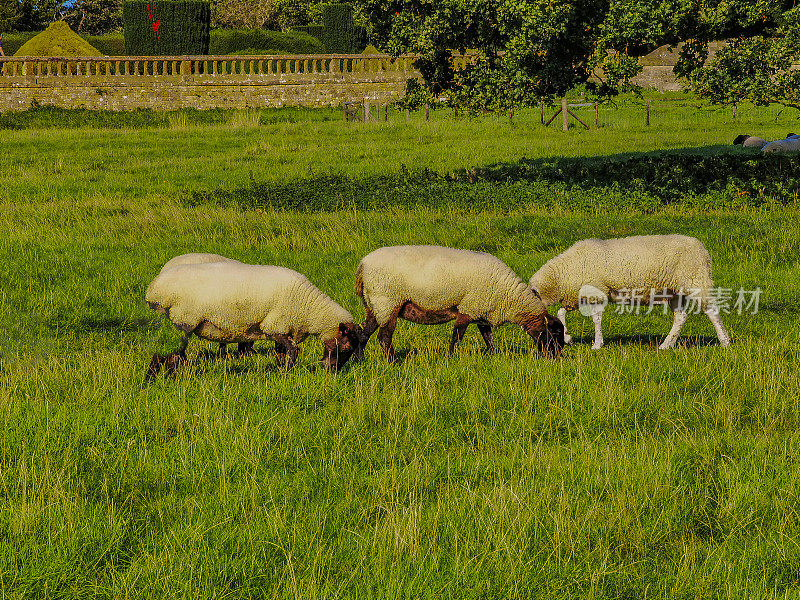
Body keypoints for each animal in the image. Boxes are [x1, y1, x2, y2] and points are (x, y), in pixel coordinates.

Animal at [145, 262, 360, 378]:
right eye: (347, 347)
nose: (332, 371)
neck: (309, 308)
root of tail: (155, 287)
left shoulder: (282, 329)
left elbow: (282, 353)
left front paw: (279, 371)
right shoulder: (275, 324)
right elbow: (293, 351)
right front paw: (286, 374)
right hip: (186, 318)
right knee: (175, 354)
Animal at [354, 244, 564, 360]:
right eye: (555, 333)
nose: (557, 358)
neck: (509, 297)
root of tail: (363, 265)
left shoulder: (481, 311)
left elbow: (488, 338)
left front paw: (493, 356)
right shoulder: (467, 308)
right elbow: (457, 337)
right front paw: (450, 358)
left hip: (374, 305)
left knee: (363, 333)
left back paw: (359, 359)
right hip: (387, 301)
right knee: (384, 337)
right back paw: (394, 362)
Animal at [532, 232, 732, 350]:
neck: (562, 274)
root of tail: (702, 249)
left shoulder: (597, 292)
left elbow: (596, 319)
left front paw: (597, 344)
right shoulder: (577, 295)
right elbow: (561, 312)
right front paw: (568, 338)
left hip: (696, 281)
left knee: (712, 312)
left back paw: (725, 341)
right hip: (675, 291)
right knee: (680, 317)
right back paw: (666, 345)